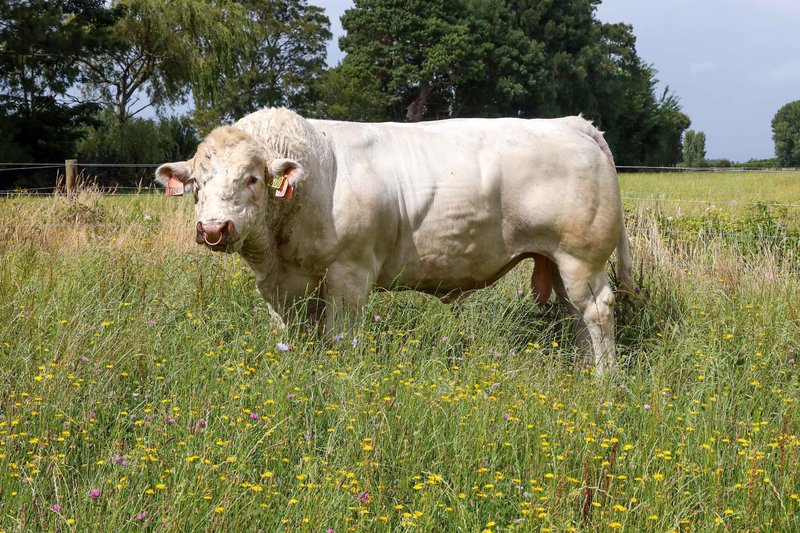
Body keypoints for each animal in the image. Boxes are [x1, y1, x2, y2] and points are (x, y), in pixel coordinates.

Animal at [158, 109, 636, 370]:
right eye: (197, 183)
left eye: (253, 178)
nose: (214, 228)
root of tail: (572, 124)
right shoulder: (282, 285)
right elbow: (289, 333)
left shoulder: (350, 273)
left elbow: (339, 337)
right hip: (557, 261)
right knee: (576, 316)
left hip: (582, 258)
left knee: (597, 311)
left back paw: (603, 378)